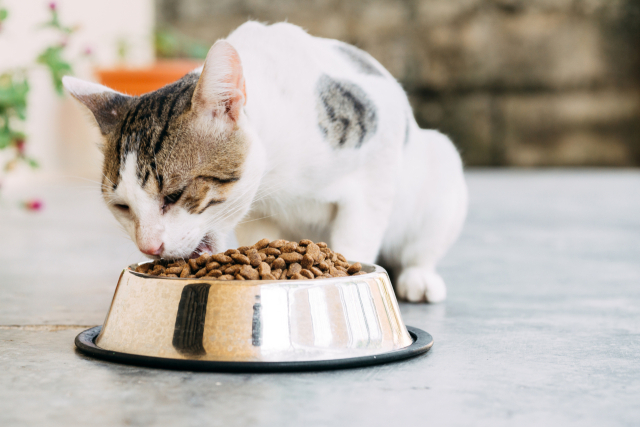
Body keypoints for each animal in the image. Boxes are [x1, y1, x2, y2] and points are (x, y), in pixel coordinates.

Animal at [63, 21, 464, 302]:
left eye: (174, 195)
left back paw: (419, 277)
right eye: (122, 207)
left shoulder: (379, 144)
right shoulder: (258, 215)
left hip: (441, 166)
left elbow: (358, 233)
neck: (277, 174)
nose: (149, 247)